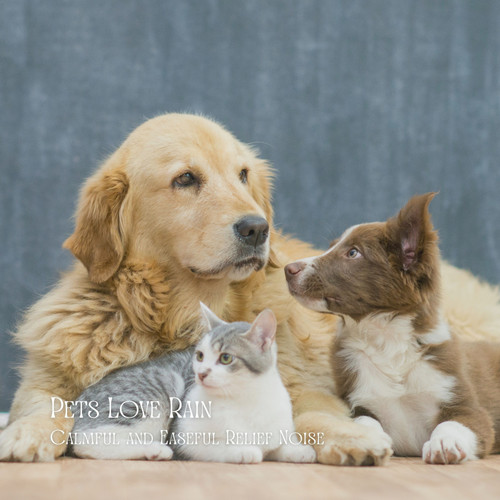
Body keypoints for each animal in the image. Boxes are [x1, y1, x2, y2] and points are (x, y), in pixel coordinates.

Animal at [69, 304, 316, 464]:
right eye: (200, 355)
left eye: (226, 358)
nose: (202, 373)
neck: (244, 399)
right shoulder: (183, 439)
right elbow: (217, 447)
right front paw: (244, 451)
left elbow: (277, 446)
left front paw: (299, 451)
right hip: (160, 389)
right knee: (85, 441)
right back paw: (154, 449)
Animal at [286, 194, 500, 464]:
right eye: (332, 246)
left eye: (353, 252)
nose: (288, 269)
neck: (386, 341)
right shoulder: (359, 401)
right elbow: (364, 420)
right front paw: (367, 439)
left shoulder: (468, 407)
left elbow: (452, 423)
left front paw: (444, 443)